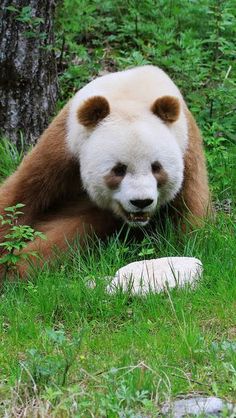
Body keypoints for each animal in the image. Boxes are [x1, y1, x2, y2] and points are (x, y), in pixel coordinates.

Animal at [0, 65, 210, 278]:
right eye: (119, 170)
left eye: (156, 167)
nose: (141, 202)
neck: (132, 97)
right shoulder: (63, 147)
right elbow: (21, 196)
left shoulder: (187, 151)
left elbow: (189, 214)